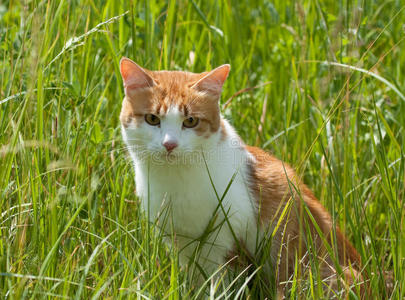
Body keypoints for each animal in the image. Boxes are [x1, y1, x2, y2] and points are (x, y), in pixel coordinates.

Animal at [118, 56, 362, 298]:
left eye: (190, 121)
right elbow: (195, 280)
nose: (169, 144)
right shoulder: (181, 242)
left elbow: (221, 285)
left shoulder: (227, 242)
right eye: (152, 119)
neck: (175, 181)